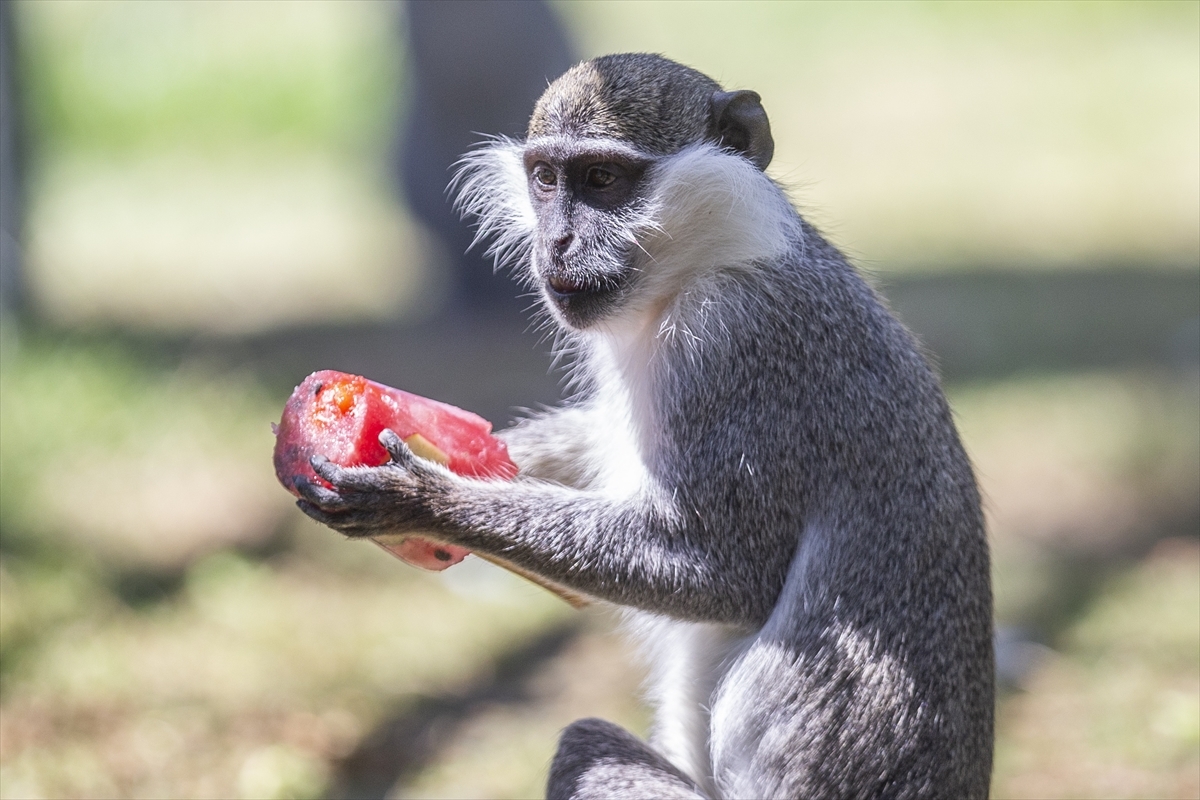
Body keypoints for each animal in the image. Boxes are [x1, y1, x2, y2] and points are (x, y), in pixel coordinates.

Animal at [297, 53, 993, 796]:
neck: (707, 258)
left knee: (585, 741)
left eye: (602, 180)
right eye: (547, 179)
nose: (558, 241)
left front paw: (424, 499)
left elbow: (720, 572)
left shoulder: (735, 338)